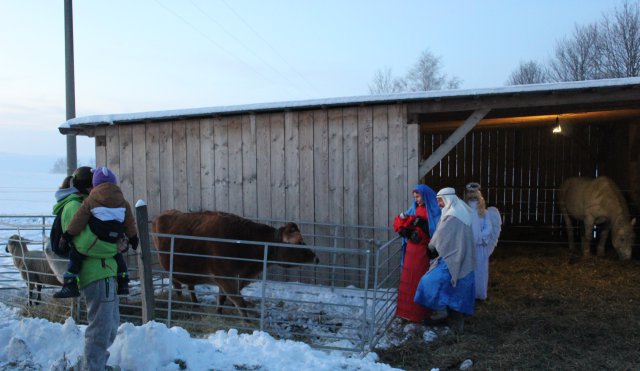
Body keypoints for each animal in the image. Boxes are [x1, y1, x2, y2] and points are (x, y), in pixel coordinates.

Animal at [151, 211, 320, 318]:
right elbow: (240, 302)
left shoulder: (232, 280)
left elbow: (222, 299)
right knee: (178, 285)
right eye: (299, 242)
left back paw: (195, 304)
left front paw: (219, 314)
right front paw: (247, 324)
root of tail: (164, 213)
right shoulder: (225, 279)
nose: (316, 258)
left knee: (189, 285)